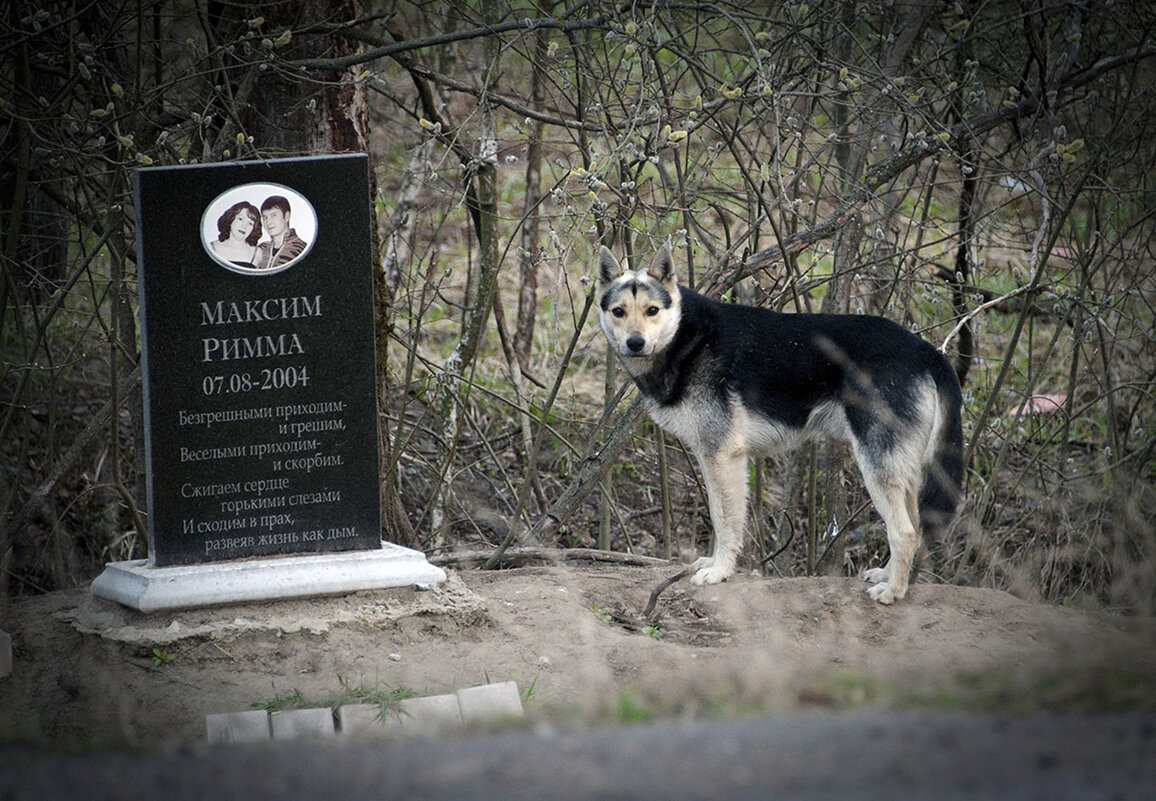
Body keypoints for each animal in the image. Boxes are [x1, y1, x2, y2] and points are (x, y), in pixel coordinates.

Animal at [596, 240, 966, 601]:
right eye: (619, 312)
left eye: (652, 310)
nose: (635, 343)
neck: (687, 337)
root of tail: (926, 350)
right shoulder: (711, 458)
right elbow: (719, 514)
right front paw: (714, 563)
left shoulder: (723, 457)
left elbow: (725, 521)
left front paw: (719, 571)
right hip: (901, 469)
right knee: (916, 526)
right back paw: (888, 576)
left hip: (877, 466)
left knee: (904, 531)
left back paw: (893, 592)